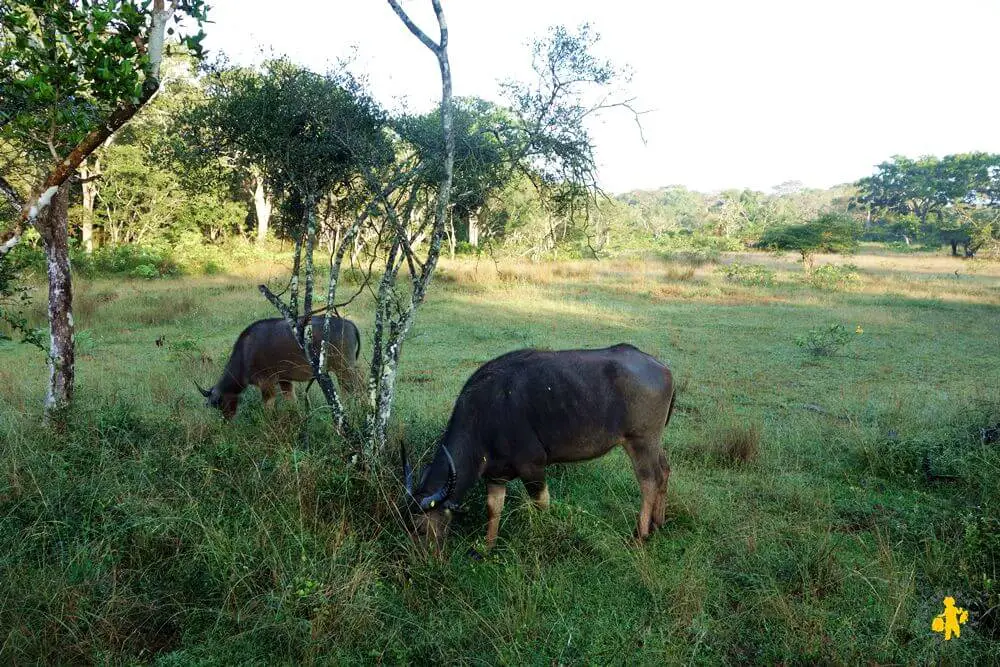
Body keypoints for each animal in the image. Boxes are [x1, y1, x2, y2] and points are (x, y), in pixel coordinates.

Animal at [195, 318, 364, 420]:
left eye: (219, 403)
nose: (226, 420)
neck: (245, 354)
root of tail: (349, 323)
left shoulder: (266, 382)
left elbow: (268, 405)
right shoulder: (284, 380)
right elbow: (291, 400)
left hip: (344, 367)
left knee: (355, 388)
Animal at [402, 342, 676, 552]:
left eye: (420, 528)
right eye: (406, 526)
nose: (419, 560)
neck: (484, 416)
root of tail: (662, 367)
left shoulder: (532, 467)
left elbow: (541, 504)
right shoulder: (495, 475)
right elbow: (493, 509)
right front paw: (487, 547)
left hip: (641, 441)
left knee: (649, 480)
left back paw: (640, 535)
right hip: (654, 442)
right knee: (664, 470)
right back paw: (658, 522)